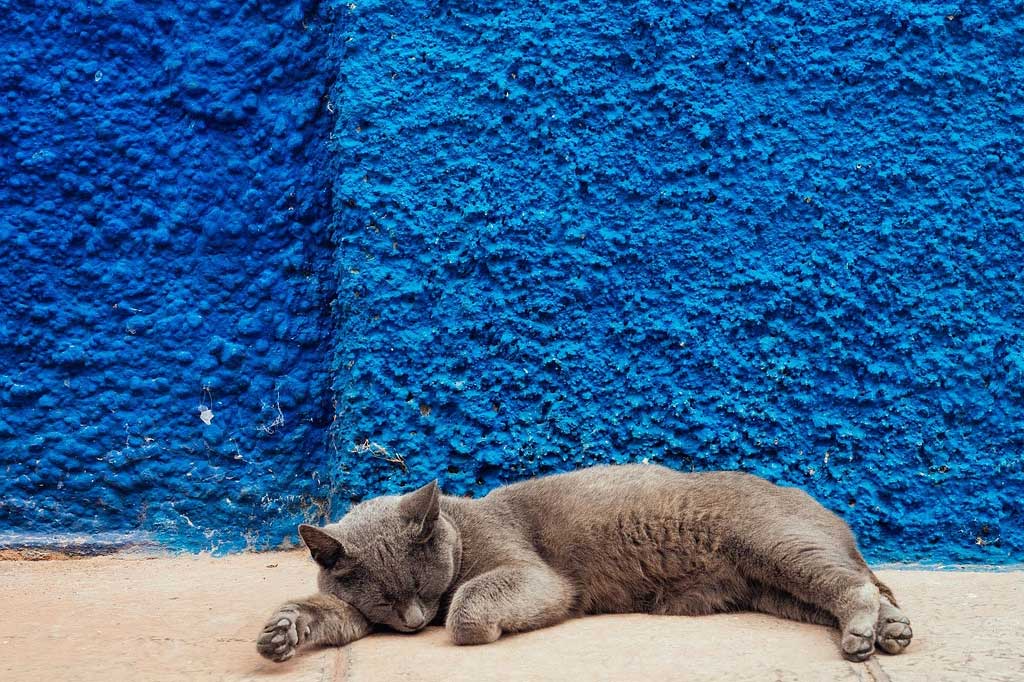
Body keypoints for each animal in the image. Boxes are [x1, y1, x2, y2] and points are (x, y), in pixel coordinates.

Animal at [257, 464, 912, 663]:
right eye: (387, 600)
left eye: (422, 584)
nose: (416, 621)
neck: (462, 530)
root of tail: (828, 512)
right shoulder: (356, 612)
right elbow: (327, 613)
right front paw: (282, 631)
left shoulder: (532, 573)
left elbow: (467, 608)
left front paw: (471, 625)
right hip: (774, 587)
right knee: (860, 588)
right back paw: (891, 630)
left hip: (777, 547)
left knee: (855, 586)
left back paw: (865, 633)